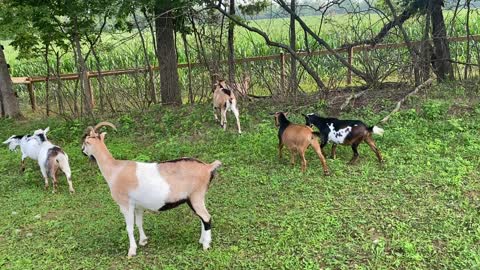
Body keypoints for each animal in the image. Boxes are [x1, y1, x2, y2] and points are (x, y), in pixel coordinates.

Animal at [81, 122, 222, 258]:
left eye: (86, 141)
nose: (82, 151)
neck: (115, 169)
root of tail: (208, 167)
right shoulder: (138, 206)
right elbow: (139, 223)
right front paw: (143, 241)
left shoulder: (125, 204)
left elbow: (129, 227)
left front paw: (132, 251)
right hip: (192, 198)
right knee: (201, 217)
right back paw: (201, 240)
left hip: (196, 195)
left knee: (206, 217)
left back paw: (206, 245)